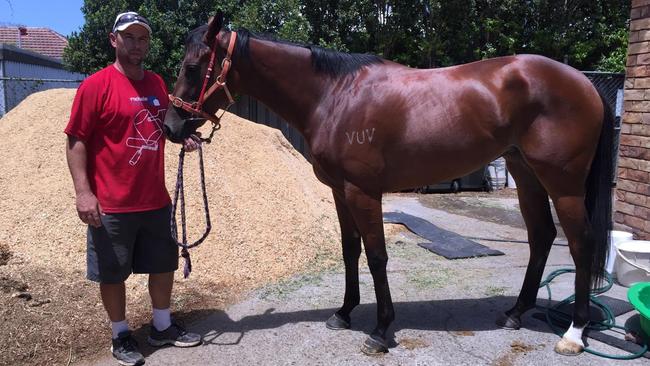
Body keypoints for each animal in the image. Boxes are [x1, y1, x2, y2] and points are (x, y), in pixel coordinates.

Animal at [163, 12, 612, 356]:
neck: (334, 96)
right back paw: (516, 313)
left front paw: (380, 331)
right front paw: (343, 313)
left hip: (563, 184)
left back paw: (574, 334)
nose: (170, 127)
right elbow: (350, 251)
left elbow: (377, 257)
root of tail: (583, 83)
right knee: (541, 236)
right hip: (525, 174)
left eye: (191, 68)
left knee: (580, 244)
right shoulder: (339, 191)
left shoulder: (363, 193)